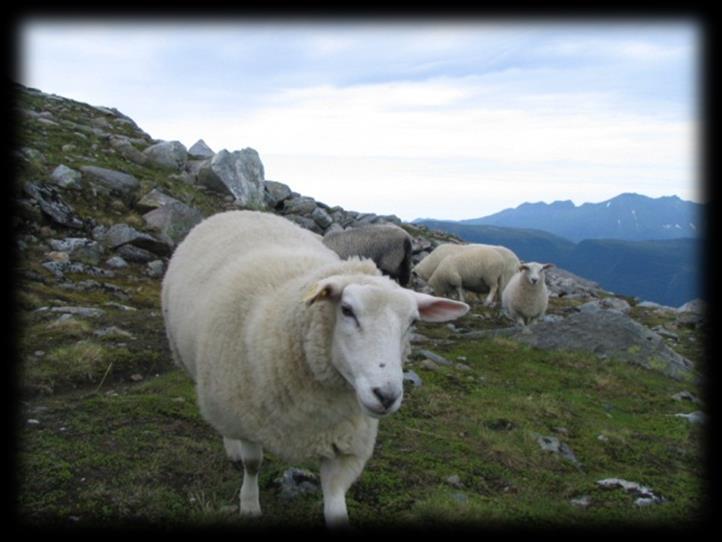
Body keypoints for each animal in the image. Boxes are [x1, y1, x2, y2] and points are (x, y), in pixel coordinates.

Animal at [160, 209, 470, 528]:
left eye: (413, 321)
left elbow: (335, 501)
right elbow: (252, 464)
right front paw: (249, 504)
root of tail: (240, 211)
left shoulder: (345, 443)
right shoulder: (245, 414)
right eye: (346, 310)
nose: (386, 395)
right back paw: (231, 447)